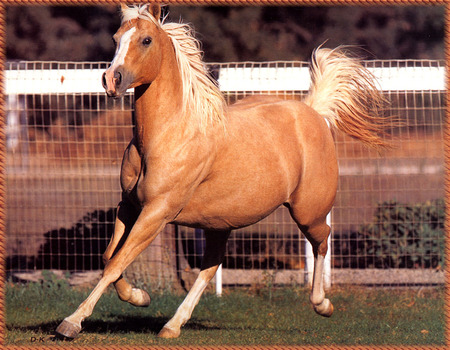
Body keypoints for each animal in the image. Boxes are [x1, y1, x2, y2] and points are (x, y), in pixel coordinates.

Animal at [56, 3, 388, 340]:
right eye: (116, 38)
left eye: (146, 40)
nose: (112, 80)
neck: (169, 133)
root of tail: (314, 112)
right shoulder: (129, 205)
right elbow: (110, 257)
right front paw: (140, 297)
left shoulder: (157, 211)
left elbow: (117, 262)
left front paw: (71, 322)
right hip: (220, 222)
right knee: (211, 266)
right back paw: (172, 325)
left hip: (308, 212)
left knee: (323, 240)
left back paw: (323, 304)